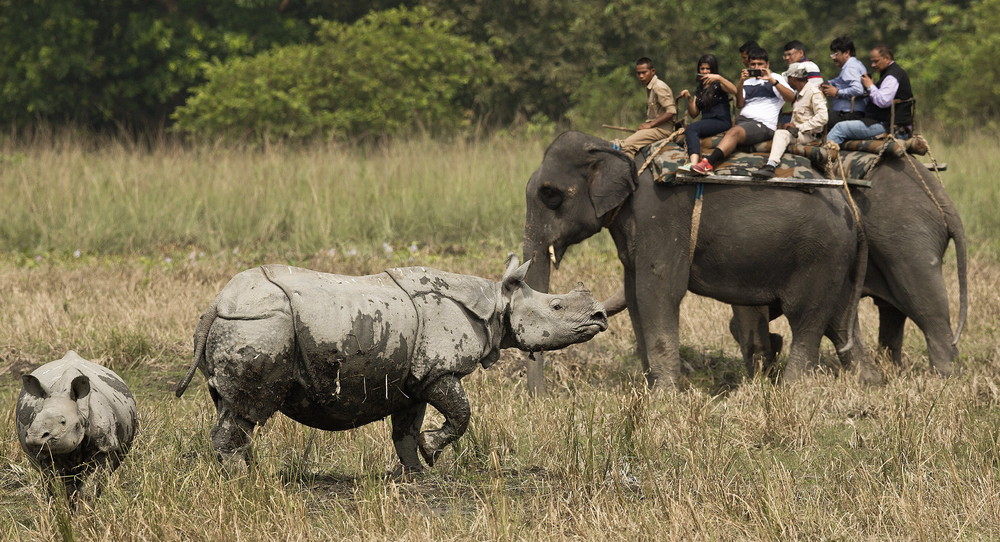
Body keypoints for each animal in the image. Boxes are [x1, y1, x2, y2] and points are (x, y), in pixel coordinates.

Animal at [16, 352, 138, 502]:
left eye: (63, 422)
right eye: (34, 418)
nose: (35, 438)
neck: (80, 410)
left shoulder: (105, 446)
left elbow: (89, 487)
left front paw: (86, 508)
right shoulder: (44, 454)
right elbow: (57, 487)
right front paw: (62, 507)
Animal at [176, 255, 604, 472]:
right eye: (557, 306)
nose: (600, 316)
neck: (495, 303)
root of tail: (217, 302)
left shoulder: (411, 380)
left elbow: (406, 431)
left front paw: (416, 473)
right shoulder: (437, 370)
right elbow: (461, 413)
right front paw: (432, 453)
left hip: (245, 324)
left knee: (232, 407)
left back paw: (250, 472)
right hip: (262, 324)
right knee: (248, 410)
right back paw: (242, 479)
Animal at [520, 130, 880, 388]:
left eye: (550, 194)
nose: (541, 398)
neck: (621, 151)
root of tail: (851, 207)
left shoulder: (660, 216)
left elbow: (657, 292)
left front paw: (665, 395)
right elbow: (635, 294)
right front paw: (651, 389)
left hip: (820, 254)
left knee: (807, 318)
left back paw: (793, 388)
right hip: (837, 258)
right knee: (840, 319)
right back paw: (867, 381)